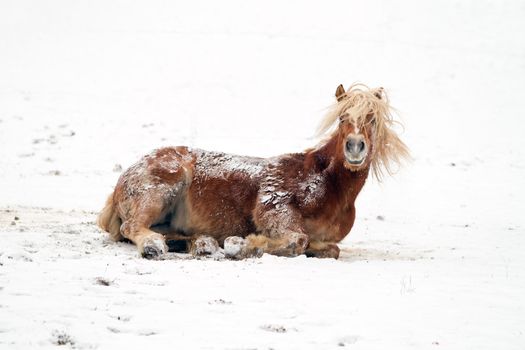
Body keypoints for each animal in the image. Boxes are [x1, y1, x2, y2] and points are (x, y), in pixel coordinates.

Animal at [98, 84, 410, 260]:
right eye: (343, 118)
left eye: (372, 118)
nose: (354, 147)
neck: (326, 184)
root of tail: (124, 179)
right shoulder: (274, 210)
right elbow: (297, 240)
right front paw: (241, 244)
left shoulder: (329, 240)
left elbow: (331, 250)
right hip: (162, 190)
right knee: (132, 228)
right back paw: (155, 247)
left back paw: (201, 244)